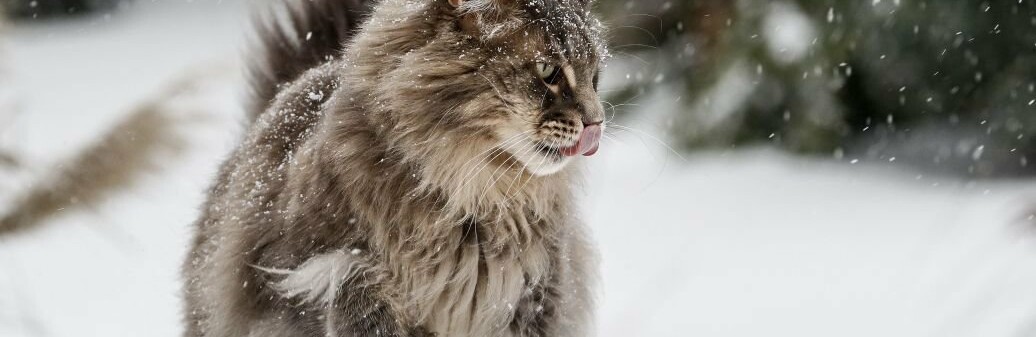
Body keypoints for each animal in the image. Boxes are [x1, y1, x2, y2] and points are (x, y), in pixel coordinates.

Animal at [183, 0, 609, 333]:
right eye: (548, 72)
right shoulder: (288, 274)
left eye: (595, 77)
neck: (472, 202)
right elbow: (351, 286)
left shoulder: (538, 295)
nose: (597, 122)